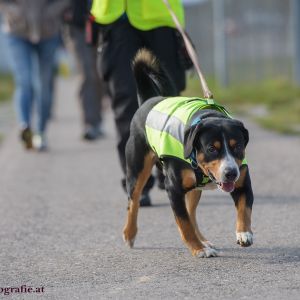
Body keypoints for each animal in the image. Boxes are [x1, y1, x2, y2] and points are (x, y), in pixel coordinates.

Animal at [122, 49, 253, 258]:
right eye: (211, 148)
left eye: (237, 146)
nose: (230, 173)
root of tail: (148, 101)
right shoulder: (173, 188)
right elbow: (183, 223)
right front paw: (197, 249)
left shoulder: (242, 182)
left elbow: (244, 208)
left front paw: (244, 233)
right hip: (137, 170)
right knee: (133, 202)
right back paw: (130, 234)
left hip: (194, 189)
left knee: (191, 213)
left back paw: (204, 241)